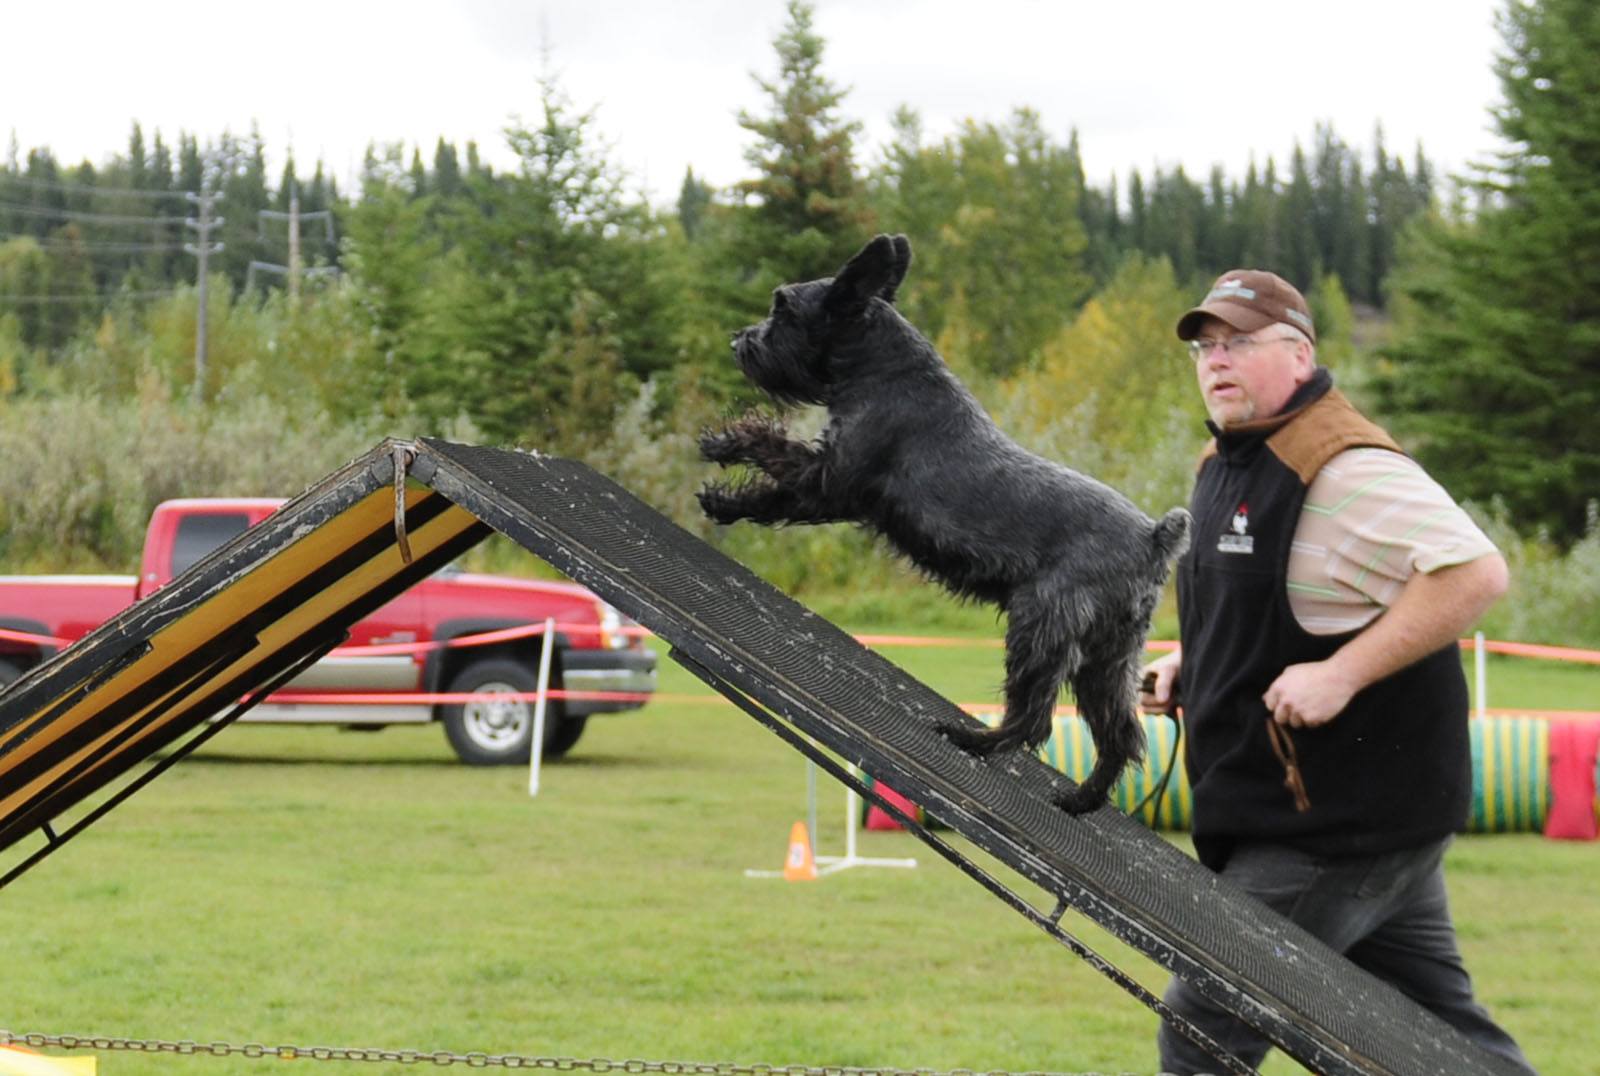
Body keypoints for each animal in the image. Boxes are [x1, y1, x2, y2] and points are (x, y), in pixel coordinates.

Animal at [700, 230, 1190, 810]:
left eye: (784, 307)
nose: (739, 342)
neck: (885, 370)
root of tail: (1153, 540)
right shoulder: (830, 488)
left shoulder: (828, 482)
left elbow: (769, 455)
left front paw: (724, 460)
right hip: (1106, 659)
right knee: (1121, 732)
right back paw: (1079, 801)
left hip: (1040, 629)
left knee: (1034, 719)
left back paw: (970, 739)